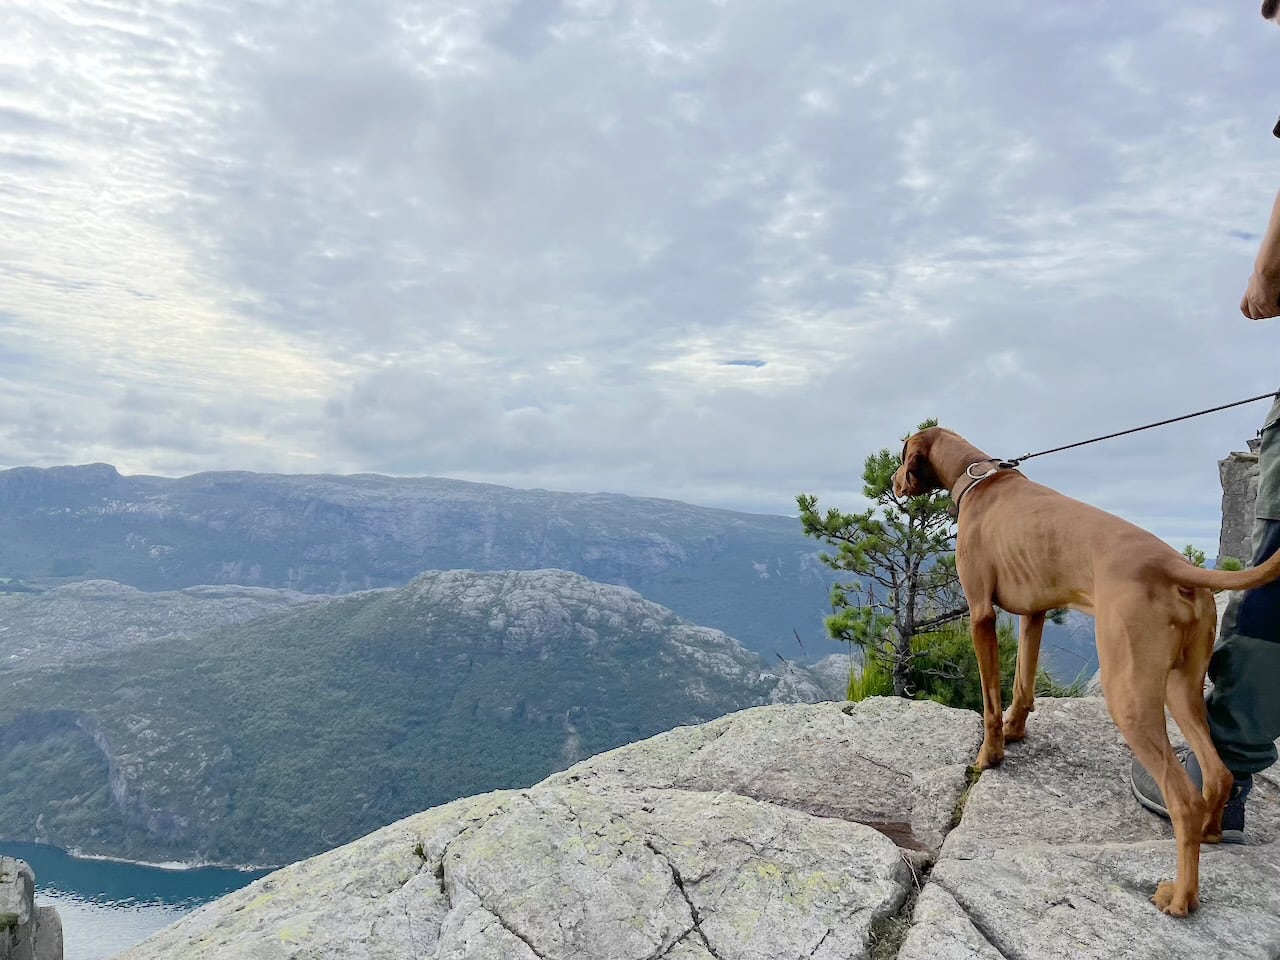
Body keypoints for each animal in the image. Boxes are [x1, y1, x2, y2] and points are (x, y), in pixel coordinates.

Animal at [896, 427, 1280, 916]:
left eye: (902, 455)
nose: (894, 482)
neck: (979, 479)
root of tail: (1174, 564)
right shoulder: (1035, 614)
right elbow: (1022, 685)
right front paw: (1016, 731)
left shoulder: (980, 613)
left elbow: (990, 700)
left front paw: (990, 755)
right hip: (1182, 686)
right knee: (1219, 774)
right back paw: (1212, 833)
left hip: (1129, 694)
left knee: (1183, 799)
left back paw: (1182, 897)